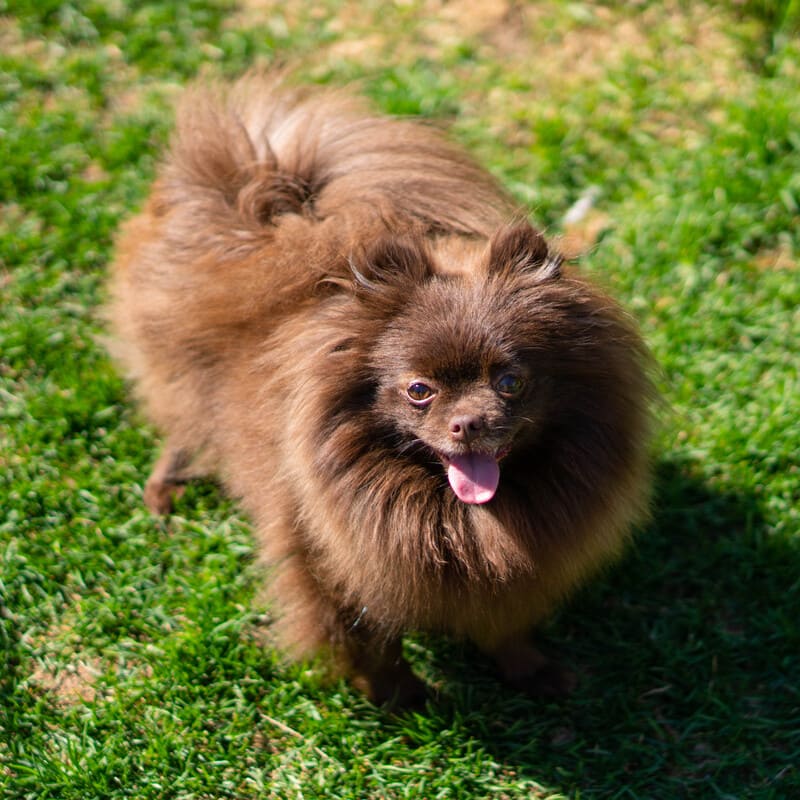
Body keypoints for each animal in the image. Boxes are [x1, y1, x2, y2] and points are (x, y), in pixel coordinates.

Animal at [108, 72, 656, 704]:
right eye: (419, 390)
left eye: (510, 381)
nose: (469, 423)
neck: (452, 515)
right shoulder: (325, 560)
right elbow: (368, 641)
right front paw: (404, 701)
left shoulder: (516, 569)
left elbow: (507, 622)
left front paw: (531, 671)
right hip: (178, 377)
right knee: (180, 426)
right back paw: (163, 491)